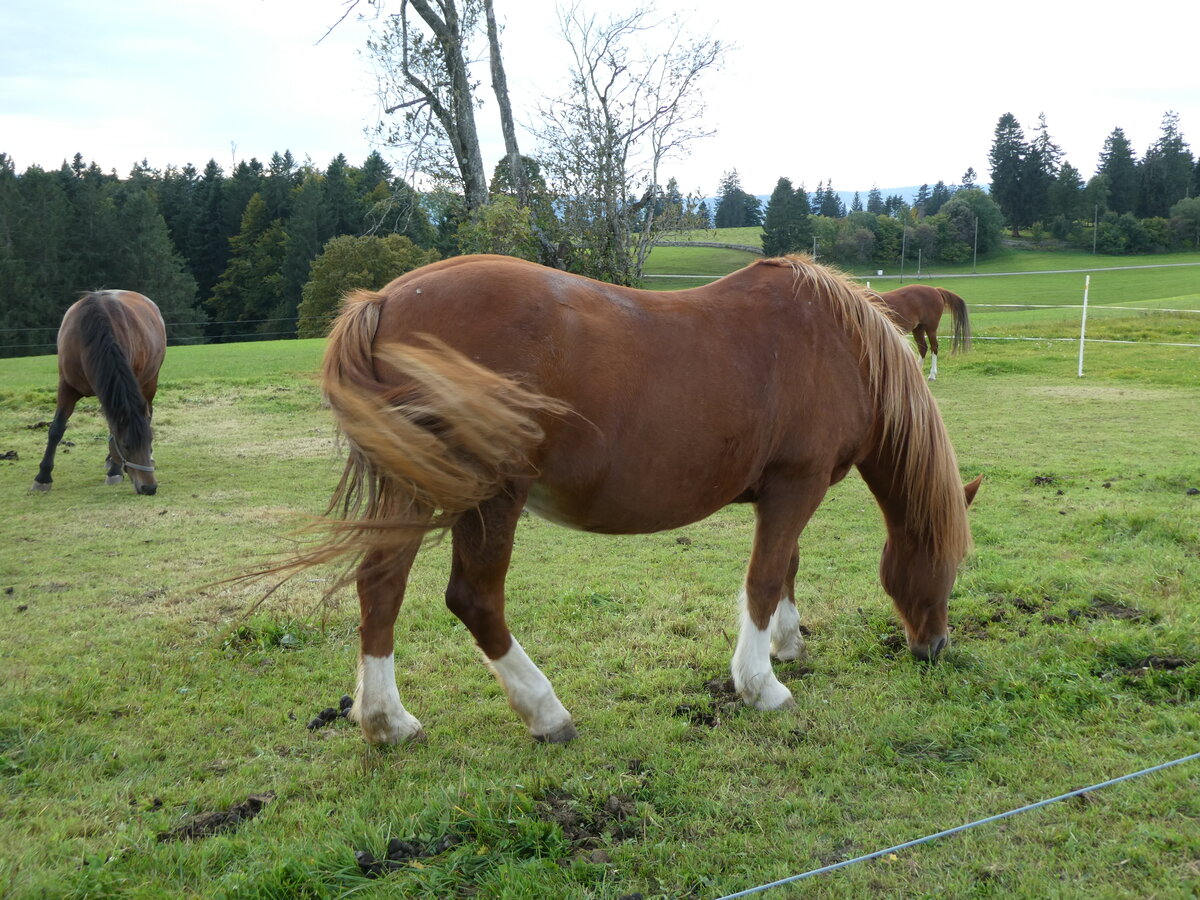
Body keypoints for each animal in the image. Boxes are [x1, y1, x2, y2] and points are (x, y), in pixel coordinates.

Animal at [31, 290, 166, 496]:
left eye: (150, 440)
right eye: (125, 445)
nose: (149, 487)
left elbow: (112, 431)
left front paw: (115, 471)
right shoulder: (66, 388)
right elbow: (56, 429)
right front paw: (43, 477)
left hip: (149, 383)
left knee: (149, 414)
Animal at [297, 254, 980, 745]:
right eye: (949, 566)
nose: (934, 648)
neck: (839, 345)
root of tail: (385, 301)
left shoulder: (785, 494)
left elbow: (786, 566)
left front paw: (787, 645)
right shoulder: (796, 485)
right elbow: (763, 579)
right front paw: (761, 685)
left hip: (413, 489)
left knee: (380, 587)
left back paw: (387, 722)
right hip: (490, 495)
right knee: (474, 599)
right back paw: (546, 713)